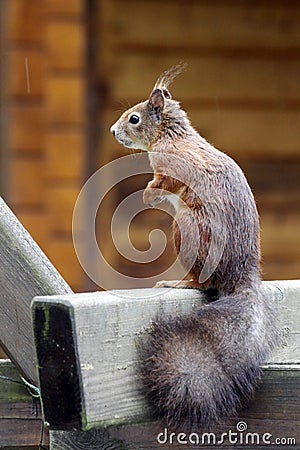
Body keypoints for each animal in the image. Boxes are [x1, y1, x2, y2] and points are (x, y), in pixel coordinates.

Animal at [110, 64, 276, 428]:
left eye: (134, 119)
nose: (113, 131)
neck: (170, 136)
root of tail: (241, 274)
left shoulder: (174, 166)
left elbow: (166, 181)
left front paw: (148, 194)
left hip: (185, 229)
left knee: (202, 281)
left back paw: (178, 281)